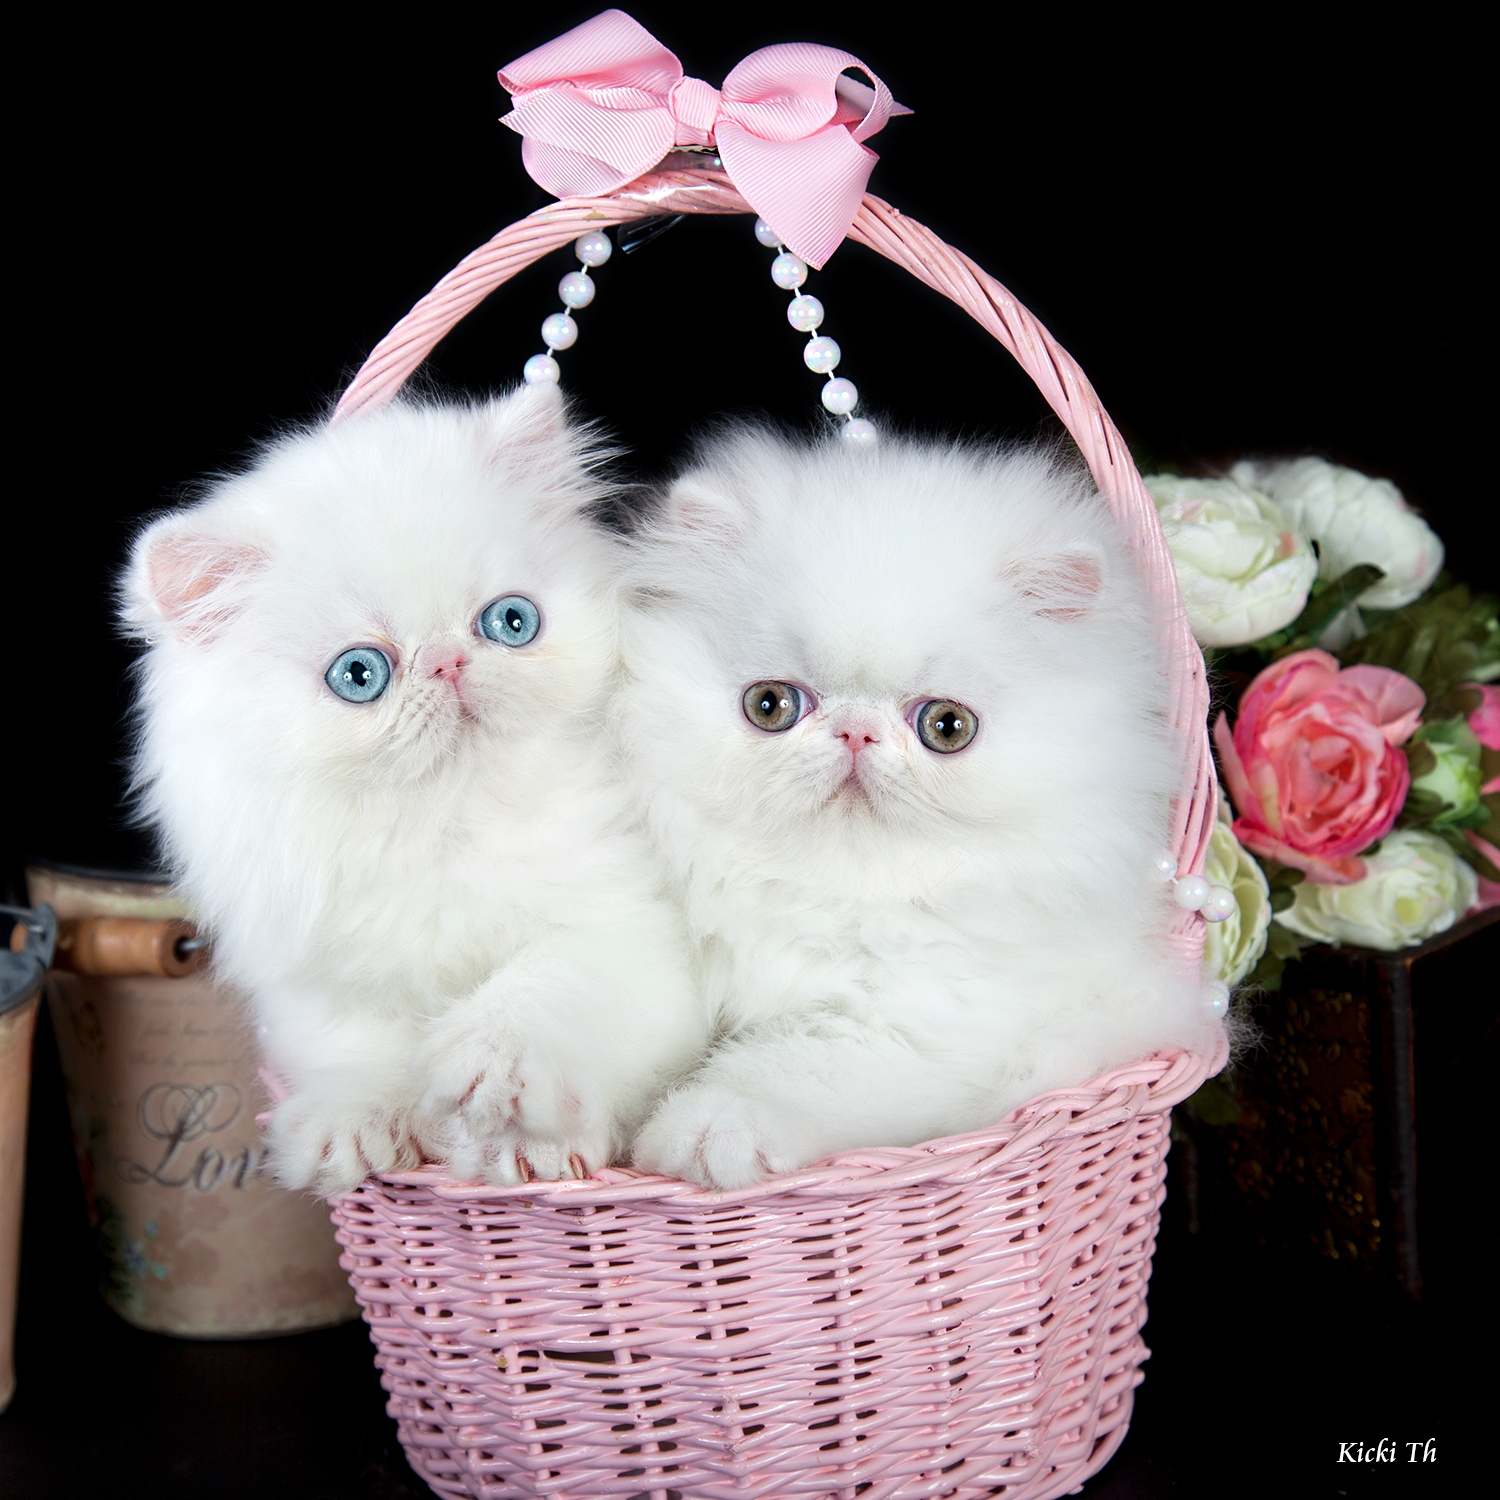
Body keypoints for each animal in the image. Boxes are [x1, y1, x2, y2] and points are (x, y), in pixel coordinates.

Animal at [120, 386, 708, 1194]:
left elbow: (542, 991)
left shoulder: (635, 941)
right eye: (360, 674)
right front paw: (348, 1129)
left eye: (511, 622)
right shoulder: (320, 984)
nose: (448, 662)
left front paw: (507, 1109)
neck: (444, 825)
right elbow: (356, 1054)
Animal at [616, 424, 1224, 1190]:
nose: (856, 733)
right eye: (770, 706)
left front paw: (707, 1133)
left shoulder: (921, 1029)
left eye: (947, 727)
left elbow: (790, 1065)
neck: (834, 895)